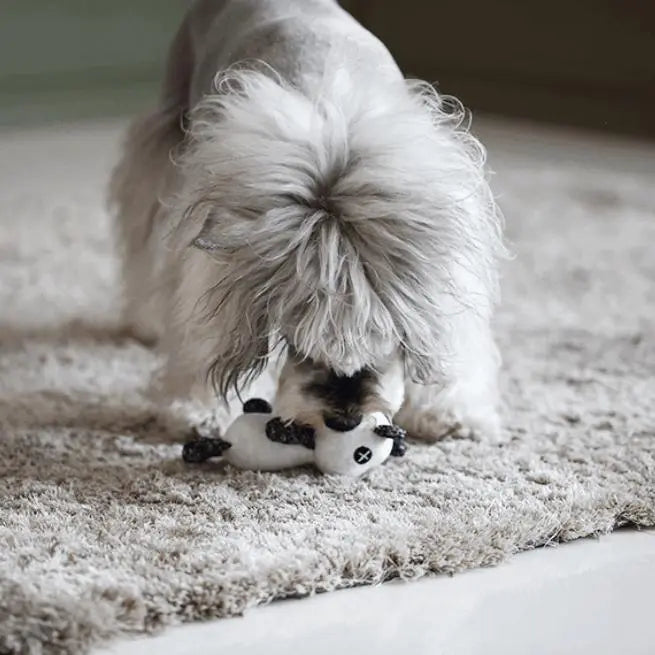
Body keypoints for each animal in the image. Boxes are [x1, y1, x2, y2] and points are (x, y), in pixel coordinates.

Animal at [110, 0, 504, 440]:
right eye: (296, 335)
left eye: (387, 335)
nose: (344, 421)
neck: (333, 118)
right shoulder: (213, 238)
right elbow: (203, 332)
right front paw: (200, 409)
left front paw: (450, 412)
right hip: (166, 136)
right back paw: (144, 322)